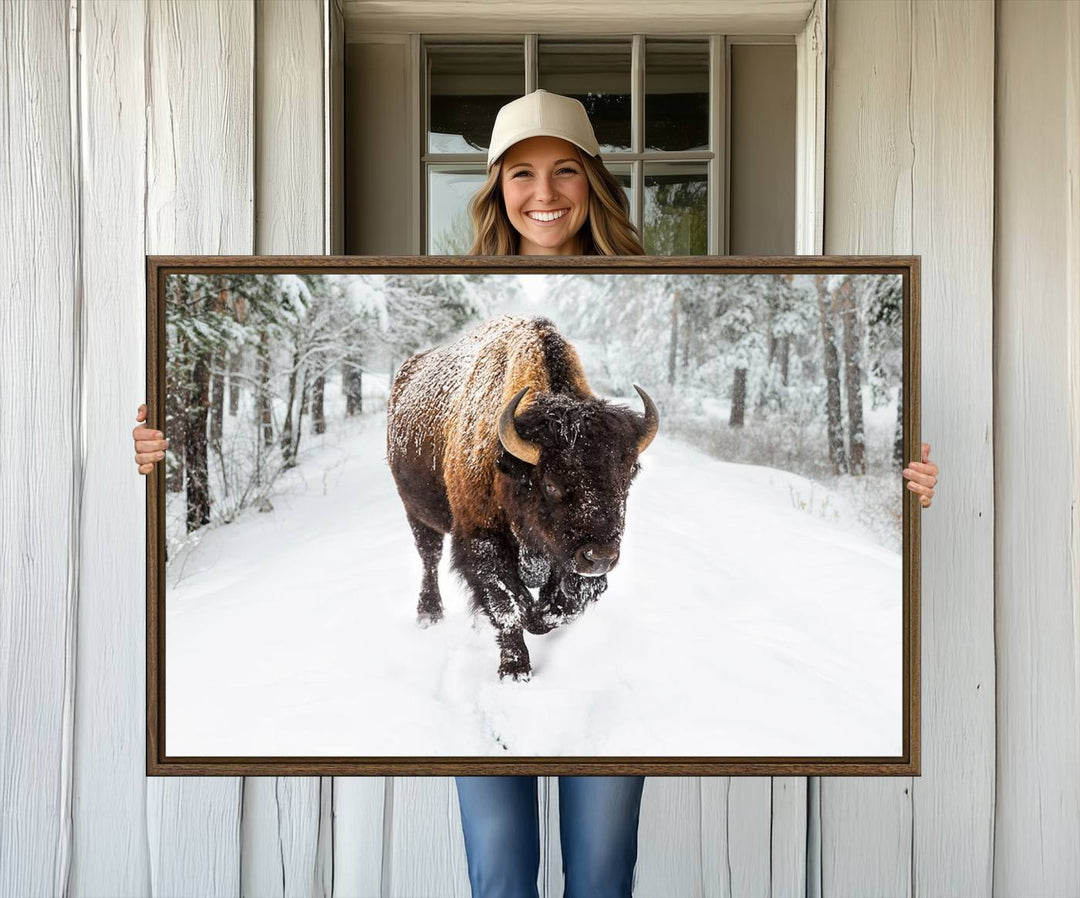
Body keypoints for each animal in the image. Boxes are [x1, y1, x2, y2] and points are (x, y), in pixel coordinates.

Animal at [388, 315, 656, 682]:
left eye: (627, 477)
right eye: (552, 484)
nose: (600, 557)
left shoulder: (565, 558)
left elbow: (562, 606)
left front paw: (538, 617)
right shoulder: (482, 539)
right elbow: (509, 606)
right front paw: (515, 670)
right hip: (416, 511)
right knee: (429, 557)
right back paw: (429, 614)